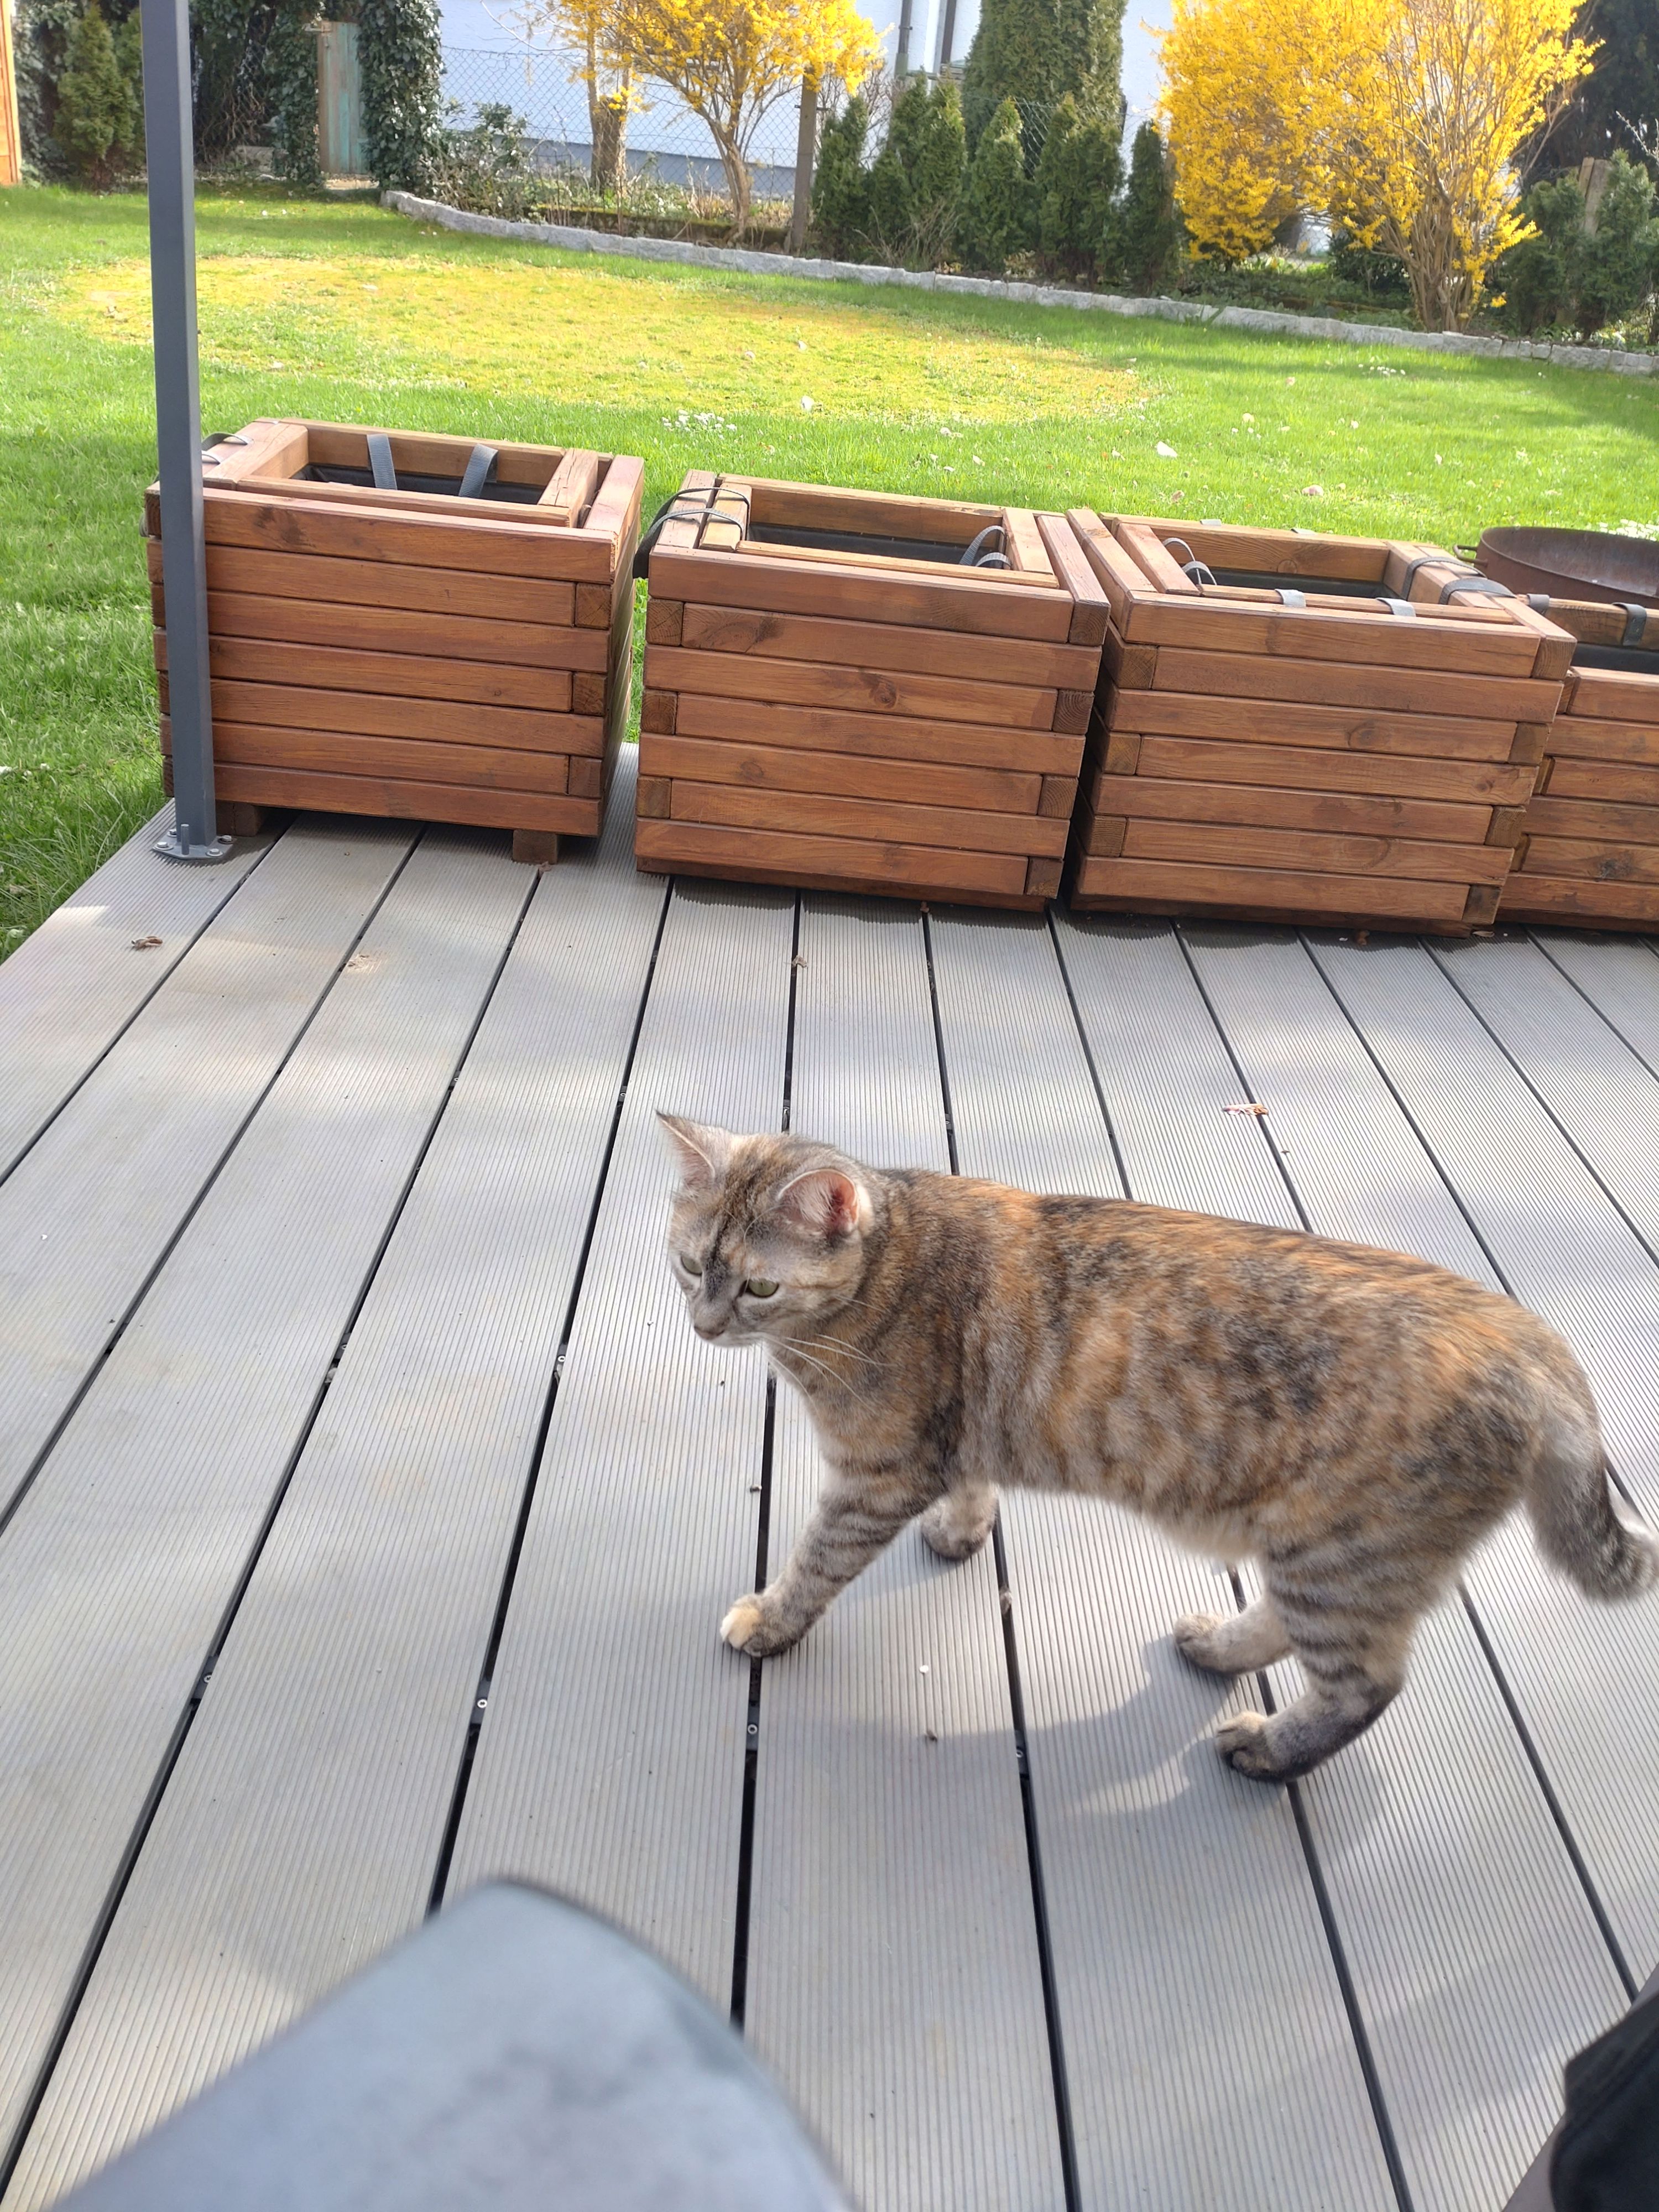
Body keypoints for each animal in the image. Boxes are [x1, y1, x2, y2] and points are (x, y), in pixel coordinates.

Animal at [658, 1111, 1657, 1783]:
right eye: (688, 1264)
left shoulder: (875, 1475)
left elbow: (814, 1564)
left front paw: (770, 1620)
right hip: (1321, 1557)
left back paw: (1270, 1750)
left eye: (756, 1287)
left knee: (1363, 1686)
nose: (703, 1327)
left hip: (1343, 1560)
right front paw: (963, 1531)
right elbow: (974, 1485)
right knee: (1290, 1632)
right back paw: (1220, 1647)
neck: (889, 1265)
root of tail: (1532, 1339)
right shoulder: (956, 1438)